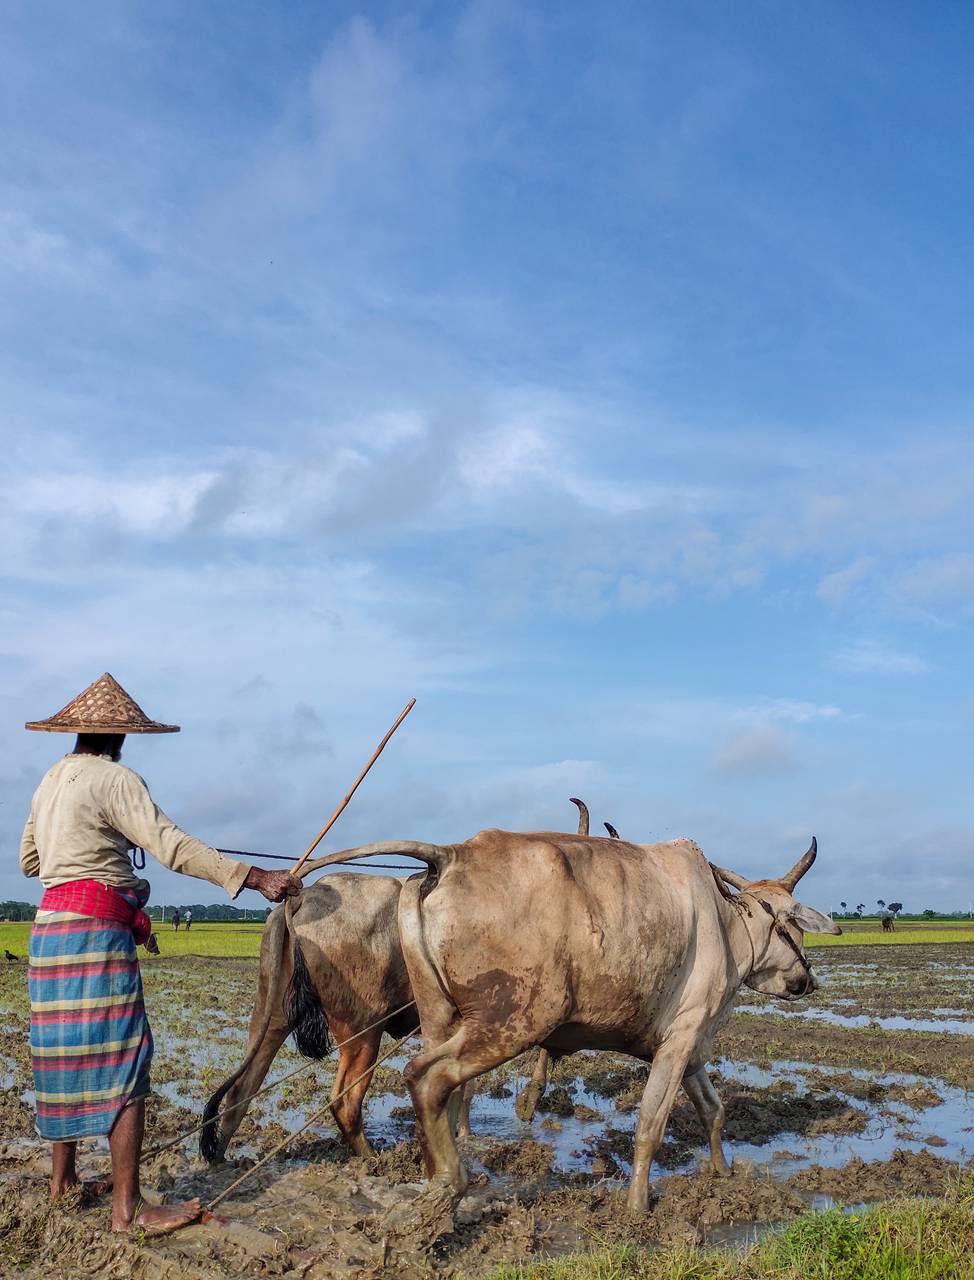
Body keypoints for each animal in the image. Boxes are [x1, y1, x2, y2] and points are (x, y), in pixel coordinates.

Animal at [305, 831, 839, 1214]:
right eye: (794, 927)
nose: (806, 980)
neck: (728, 929)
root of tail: (453, 855)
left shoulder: (688, 1047)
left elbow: (713, 1110)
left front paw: (724, 1175)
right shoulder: (682, 1038)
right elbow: (651, 1124)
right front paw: (637, 1207)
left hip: (440, 1016)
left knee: (441, 1095)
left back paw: (438, 1176)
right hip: (513, 1019)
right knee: (426, 1077)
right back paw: (449, 1185)